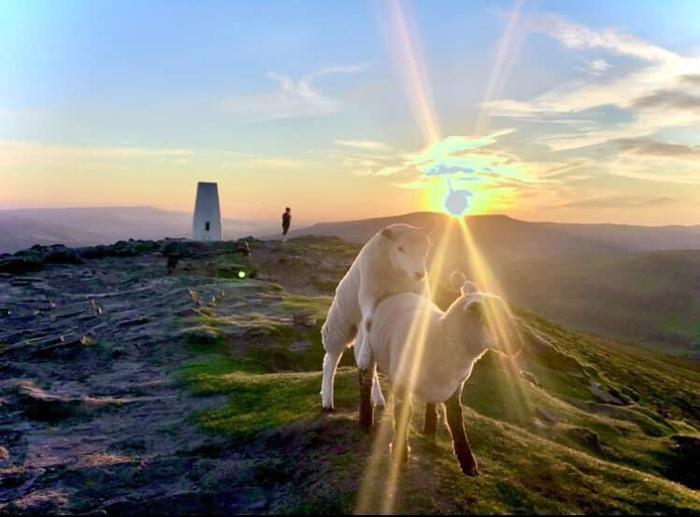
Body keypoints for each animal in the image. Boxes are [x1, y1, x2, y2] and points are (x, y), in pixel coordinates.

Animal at [320, 224, 430, 410]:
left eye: (425, 249)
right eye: (400, 248)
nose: (419, 274)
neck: (397, 273)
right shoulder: (368, 294)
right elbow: (369, 321)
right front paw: (365, 357)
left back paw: (377, 398)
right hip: (339, 324)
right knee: (331, 358)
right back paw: (327, 399)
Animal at [360, 280, 508, 478]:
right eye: (493, 320)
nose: (519, 346)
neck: (441, 337)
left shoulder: (454, 388)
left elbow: (456, 419)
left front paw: (467, 462)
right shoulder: (404, 384)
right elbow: (403, 414)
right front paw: (400, 454)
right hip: (368, 349)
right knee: (365, 380)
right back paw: (365, 419)